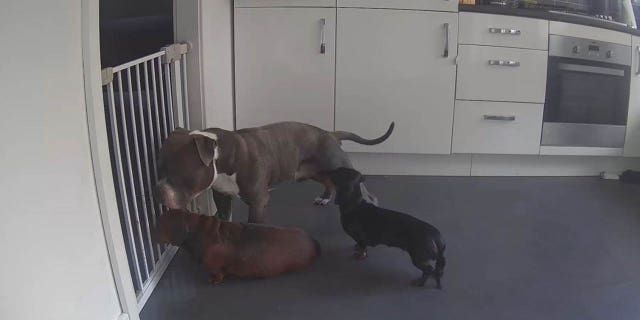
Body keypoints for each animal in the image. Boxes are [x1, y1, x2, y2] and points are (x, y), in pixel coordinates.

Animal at [156, 121, 396, 224]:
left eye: (177, 172)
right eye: (159, 167)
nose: (157, 190)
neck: (220, 155)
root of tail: (330, 133)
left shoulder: (258, 201)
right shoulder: (221, 195)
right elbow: (225, 216)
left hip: (337, 165)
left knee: (366, 191)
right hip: (314, 170)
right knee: (329, 182)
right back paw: (325, 198)